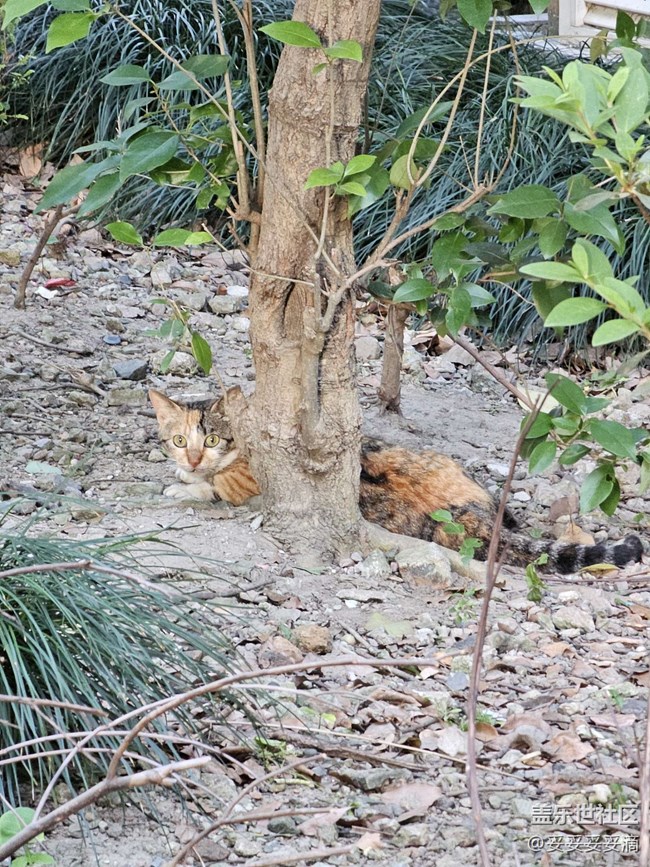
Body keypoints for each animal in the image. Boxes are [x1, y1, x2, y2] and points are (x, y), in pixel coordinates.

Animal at [149, 389, 644, 574]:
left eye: (213, 438)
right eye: (180, 439)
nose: (192, 456)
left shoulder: (250, 481)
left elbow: (214, 487)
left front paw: (183, 484)